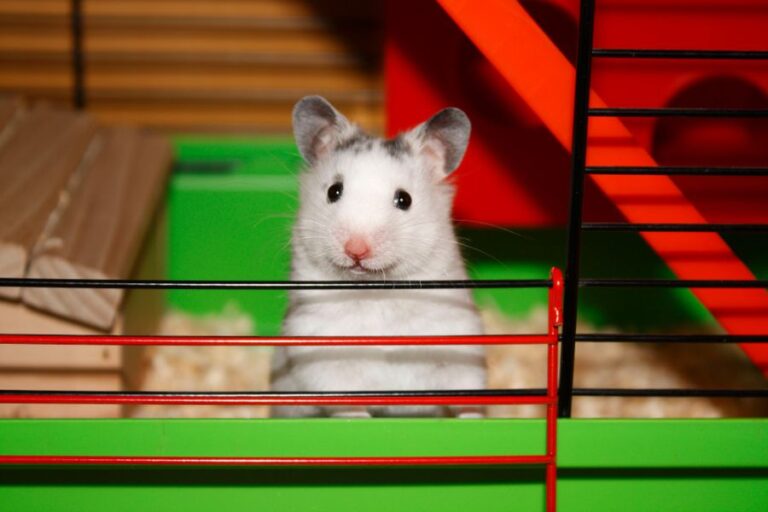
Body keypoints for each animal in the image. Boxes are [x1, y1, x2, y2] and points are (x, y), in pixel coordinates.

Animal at [270, 96, 486, 418]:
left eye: (404, 199)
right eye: (334, 191)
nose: (356, 249)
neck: (376, 291)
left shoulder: (458, 345)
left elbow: (467, 392)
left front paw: (473, 419)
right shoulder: (322, 356)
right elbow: (345, 402)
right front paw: (358, 419)